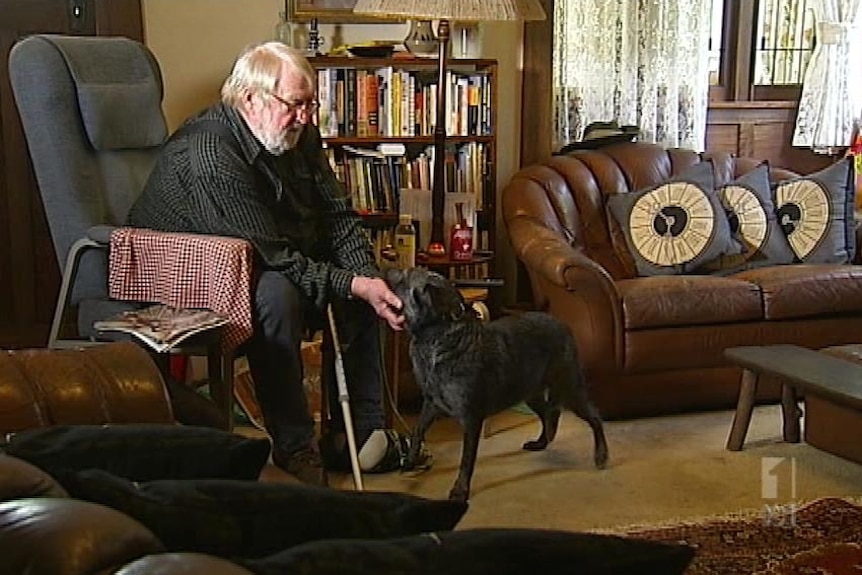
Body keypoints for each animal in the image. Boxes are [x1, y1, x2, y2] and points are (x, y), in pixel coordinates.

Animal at [388, 268, 612, 502]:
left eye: (405, 277)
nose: (387, 269)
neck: (438, 341)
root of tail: (563, 325)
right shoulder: (432, 404)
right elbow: (417, 431)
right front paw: (410, 461)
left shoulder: (471, 418)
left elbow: (466, 459)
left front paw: (460, 490)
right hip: (529, 391)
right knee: (549, 414)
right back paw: (541, 442)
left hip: (569, 387)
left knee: (594, 417)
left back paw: (601, 455)